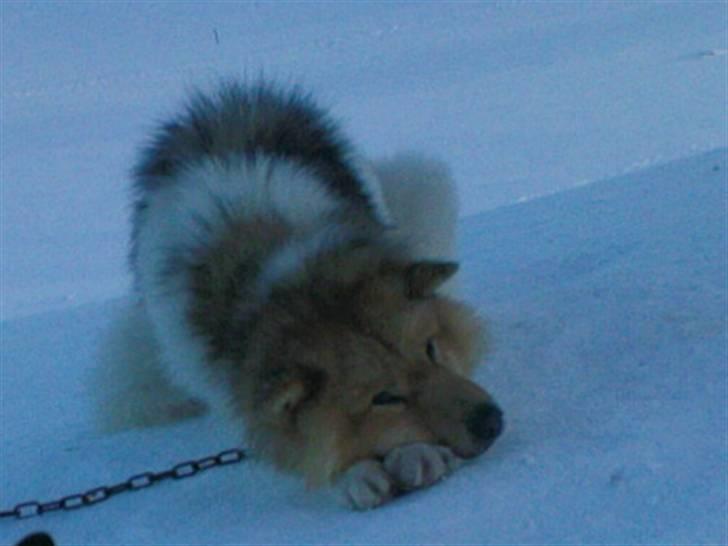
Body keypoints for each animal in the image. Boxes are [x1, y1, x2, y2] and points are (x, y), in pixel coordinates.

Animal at [96, 83, 504, 508]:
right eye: (384, 397)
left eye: (430, 349)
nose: (490, 421)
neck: (275, 268)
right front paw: (353, 473)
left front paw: (413, 453)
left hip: (423, 184)